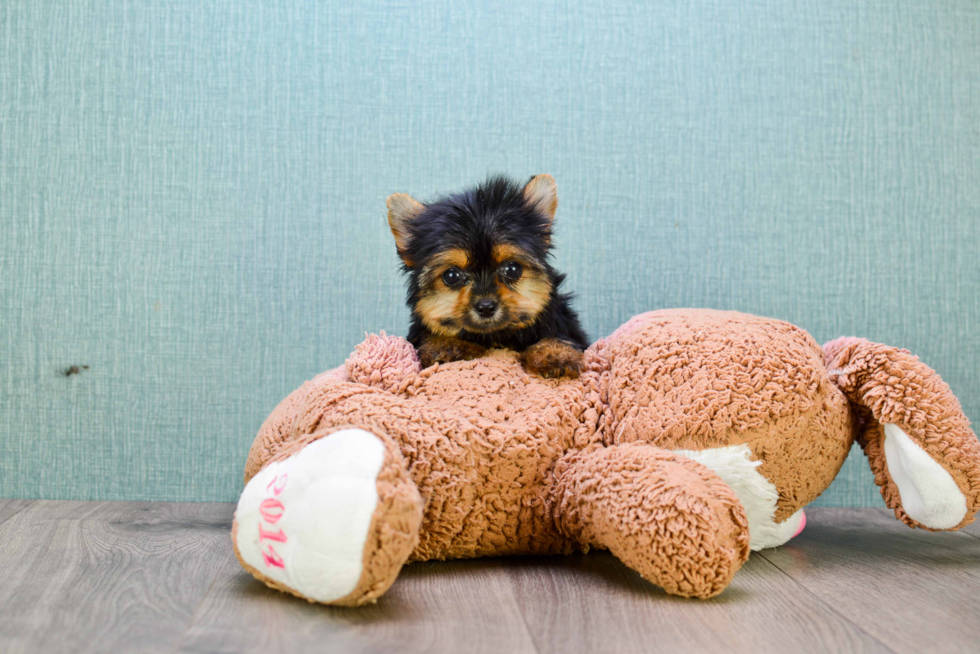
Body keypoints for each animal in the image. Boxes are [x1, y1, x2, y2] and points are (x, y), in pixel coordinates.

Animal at [388, 176, 588, 380]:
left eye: (513, 269)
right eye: (451, 276)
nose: (485, 307)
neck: (493, 336)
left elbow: (558, 336)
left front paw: (555, 354)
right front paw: (446, 345)